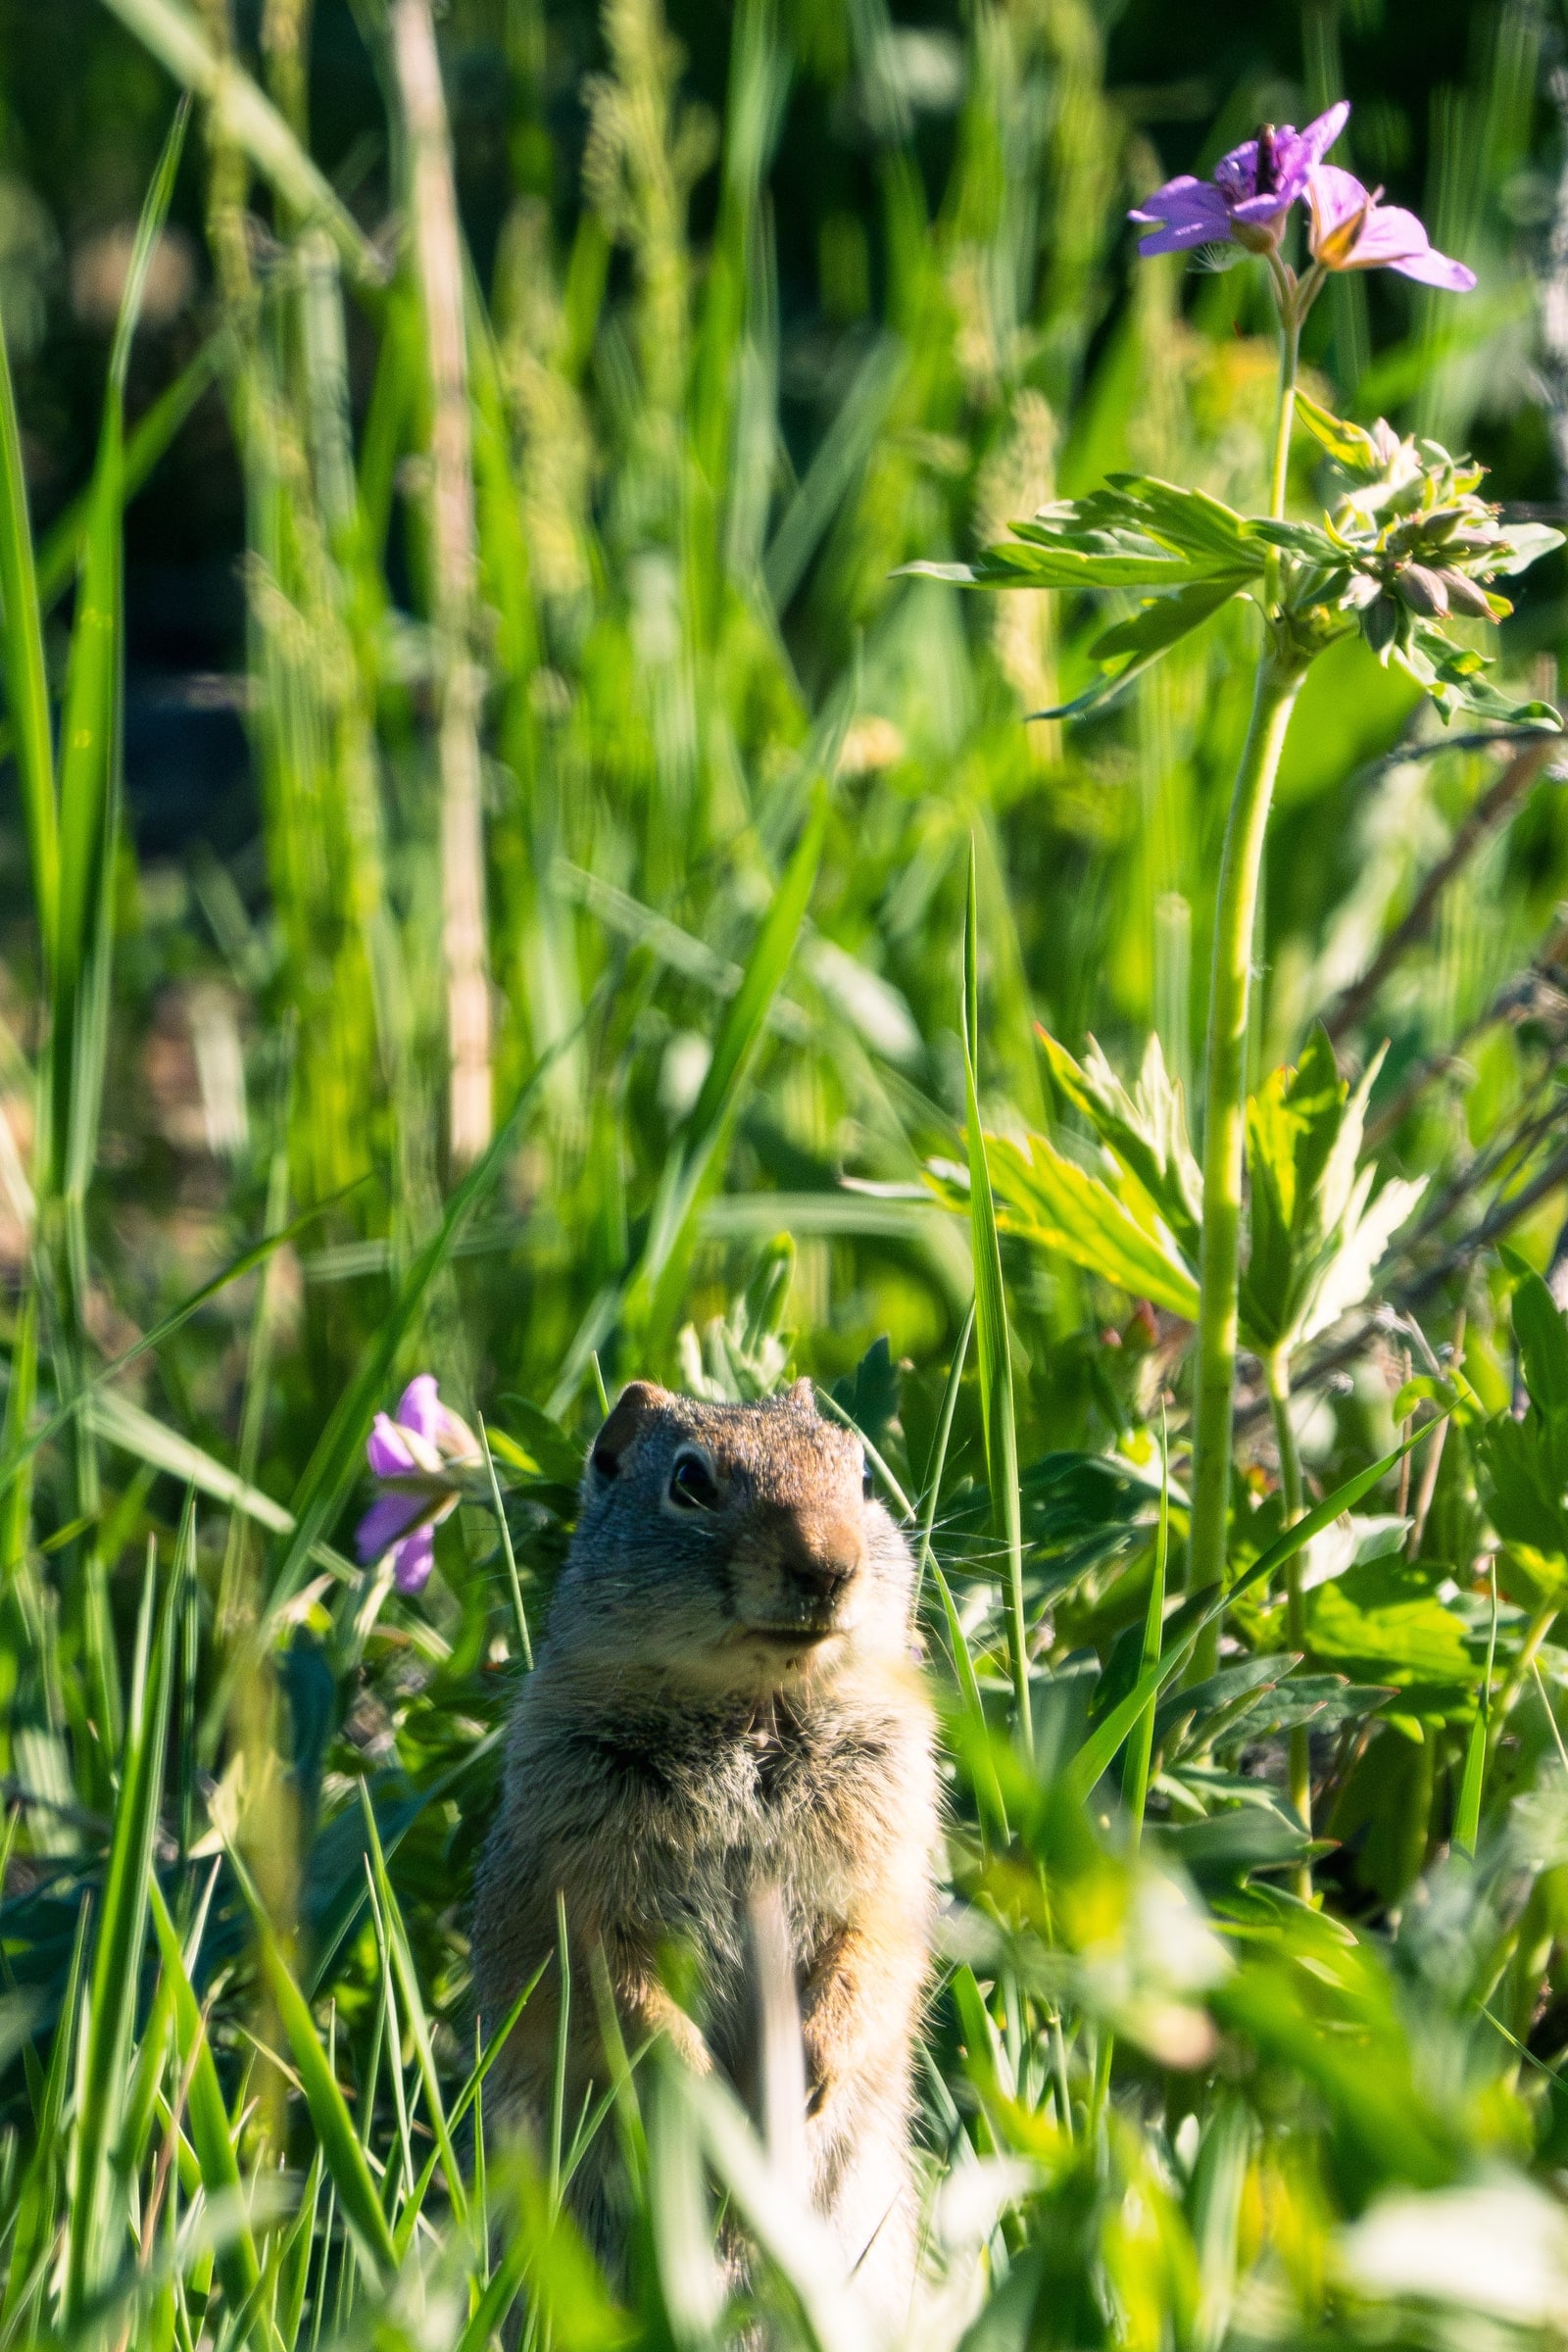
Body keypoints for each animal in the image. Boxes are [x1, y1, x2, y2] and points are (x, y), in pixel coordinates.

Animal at [472, 1375, 938, 2326]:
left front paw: (805, 2072)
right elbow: (614, 1990)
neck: (752, 1712)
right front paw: (697, 2095)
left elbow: (871, 1959)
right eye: (690, 1482)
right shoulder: (575, 1878)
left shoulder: (885, 1858)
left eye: (860, 1473)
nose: (829, 1566)